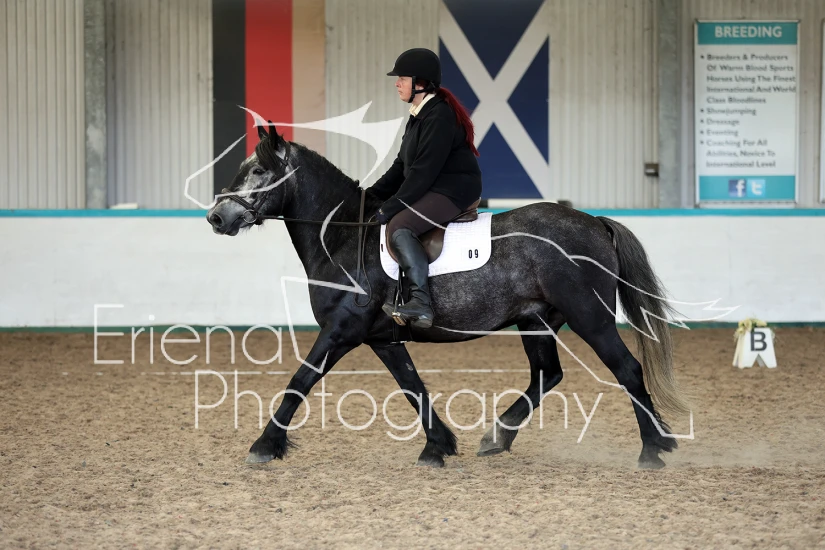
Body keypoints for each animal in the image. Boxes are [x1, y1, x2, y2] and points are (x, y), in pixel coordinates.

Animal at [206, 124, 689, 469]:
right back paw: (497, 437)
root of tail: (593, 222)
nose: (216, 217)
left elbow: (299, 381)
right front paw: (437, 447)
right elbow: (413, 388)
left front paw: (264, 445)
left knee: (626, 369)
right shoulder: (382, 338)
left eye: (259, 171)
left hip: (590, 316)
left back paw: (652, 450)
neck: (343, 237)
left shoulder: (340, 331)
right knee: (546, 375)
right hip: (536, 320)